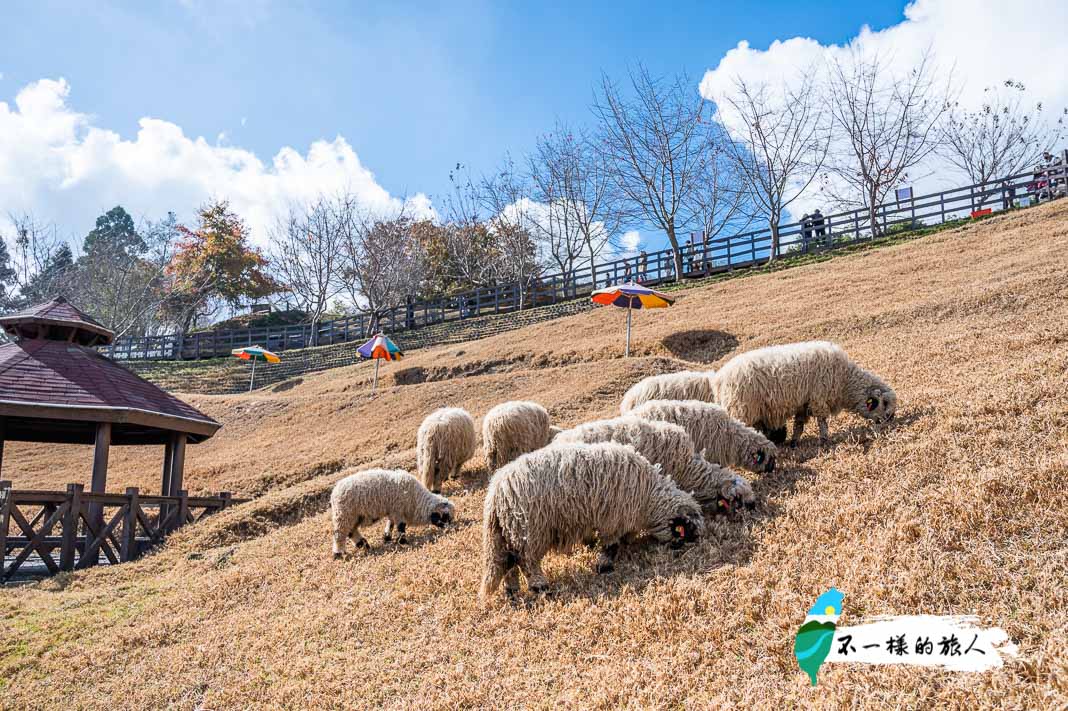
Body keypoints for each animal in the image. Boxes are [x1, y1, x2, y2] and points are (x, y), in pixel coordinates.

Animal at [480, 437, 704, 597]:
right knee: (525, 560)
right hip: (529, 530)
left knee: (508, 561)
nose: (687, 549)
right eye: (687, 531)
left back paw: (511, 590)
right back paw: (539, 586)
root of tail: (496, 492)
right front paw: (604, 565)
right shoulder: (612, 519)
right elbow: (611, 545)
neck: (647, 497)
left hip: (510, 531)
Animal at [713, 337, 897, 444]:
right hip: (741, 410)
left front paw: (795, 442)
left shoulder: (803, 403)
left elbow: (799, 424)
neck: (845, 380)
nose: (890, 419)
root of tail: (719, 379)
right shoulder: (818, 398)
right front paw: (824, 439)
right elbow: (822, 421)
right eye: (885, 404)